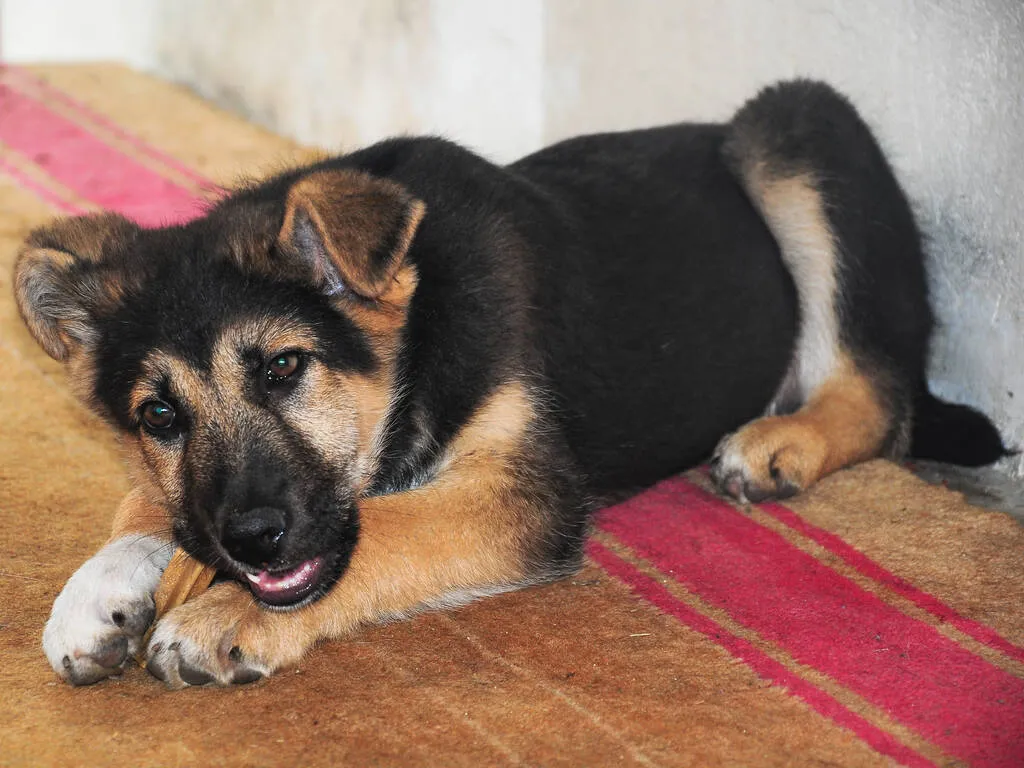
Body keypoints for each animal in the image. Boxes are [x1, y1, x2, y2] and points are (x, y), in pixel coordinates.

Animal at [16, 81, 1003, 688]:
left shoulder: (521, 492)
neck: (423, 325)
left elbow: (388, 531)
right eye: (159, 415)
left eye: (284, 366)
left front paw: (225, 614)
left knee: (878, 395)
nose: (253, 542)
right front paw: (95, 594)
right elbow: (147, 502)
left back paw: (779, 443)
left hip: (798, 124)